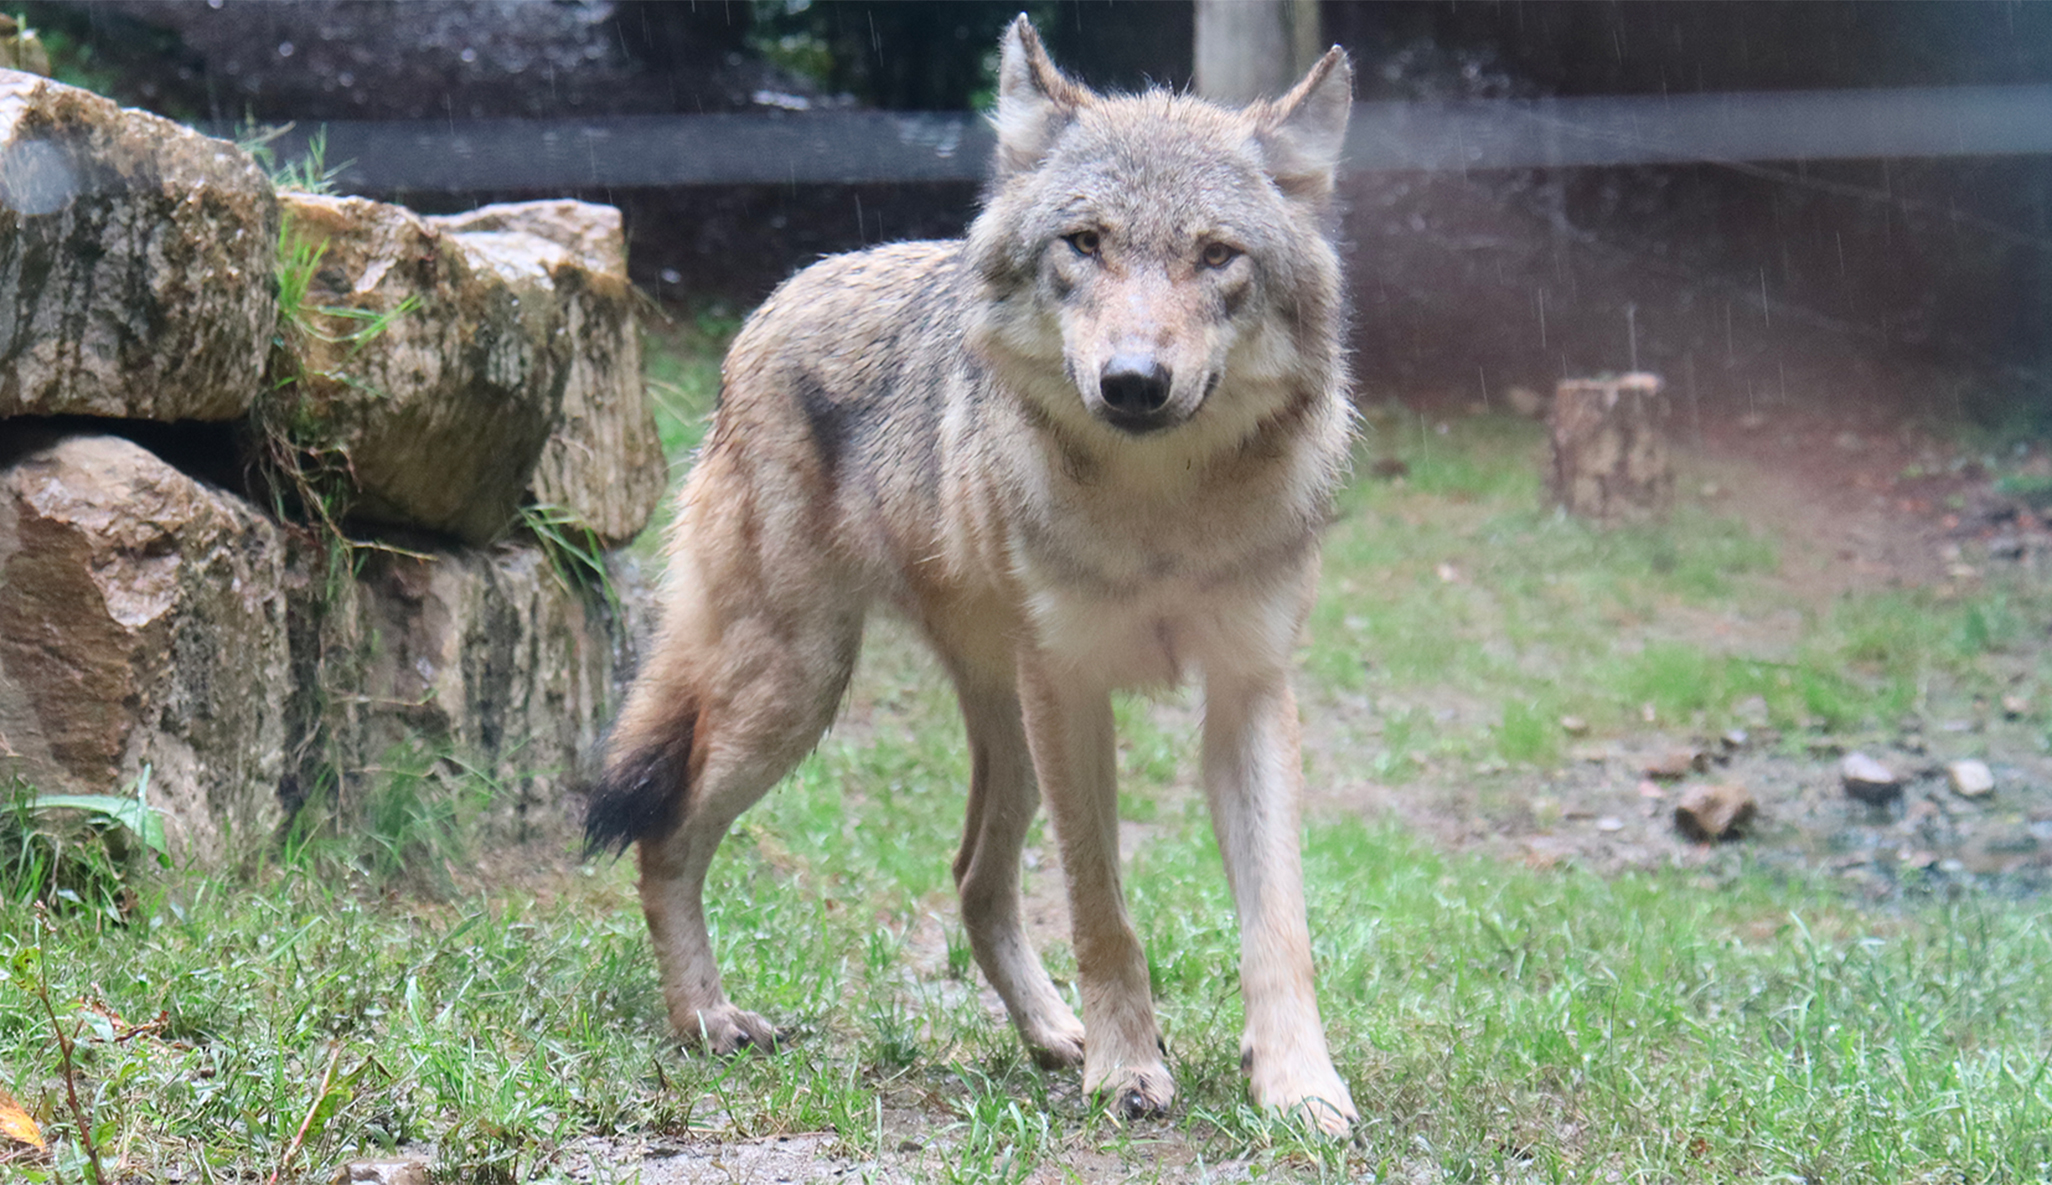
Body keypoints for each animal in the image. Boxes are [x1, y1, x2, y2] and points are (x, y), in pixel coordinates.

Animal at [590, 16, 1362, 1125]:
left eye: (1218, 255)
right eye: (1084, 243)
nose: (1134, 383)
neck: (1160, 512)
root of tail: (780, 294)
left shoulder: (1248, 691)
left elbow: (1278, 924)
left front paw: (1298, 1085)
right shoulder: (1073, 691)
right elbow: (1101, 909)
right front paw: (1127, 1071)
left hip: (998, 727)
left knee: (971, 879)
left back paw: (1050, 1034)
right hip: (797, 695)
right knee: (668, 839)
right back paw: (707, 1018)